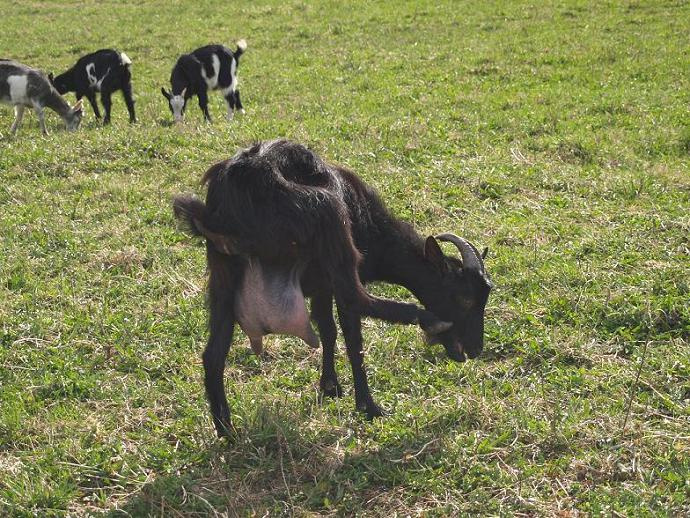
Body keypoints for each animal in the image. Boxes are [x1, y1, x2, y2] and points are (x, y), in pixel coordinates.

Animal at [173, 140, 492, 436]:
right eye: (464, 298)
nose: (475, 349)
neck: (370, 223)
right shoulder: (334, 282)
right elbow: (351, 335)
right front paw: (364, 404)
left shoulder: (321, 287)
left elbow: (328, 330)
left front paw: (329, 386)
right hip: (327, 214)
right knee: (358, 298)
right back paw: (424, 325)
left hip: (223, 271)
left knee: (213, 353)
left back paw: (227, 431)